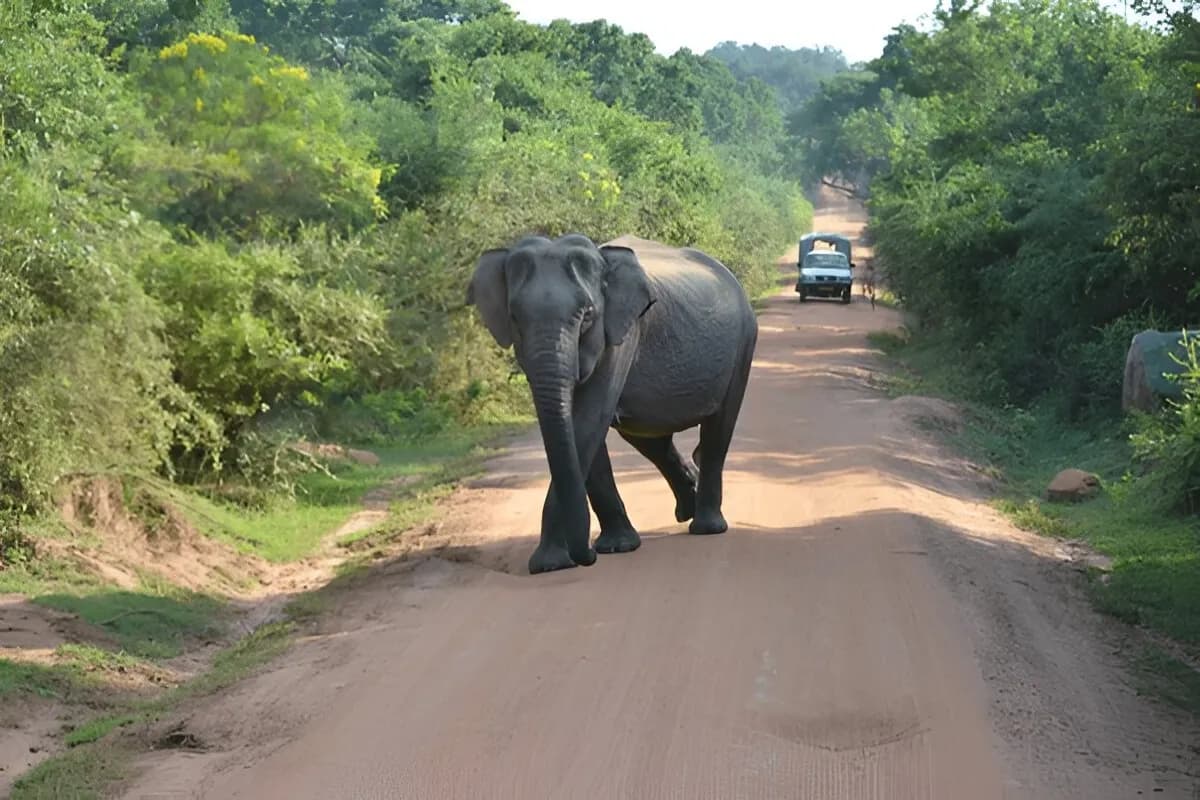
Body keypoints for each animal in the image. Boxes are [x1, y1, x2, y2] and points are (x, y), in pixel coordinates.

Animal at [466, 232, 758, 574]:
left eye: (588, 315)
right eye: (514, 318)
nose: (587, 556)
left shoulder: (621, 336)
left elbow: (588, 421)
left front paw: (552, 564)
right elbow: (581, 430)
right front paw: (610, 549)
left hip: (744, 345)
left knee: (717, 431)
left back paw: (706, 527)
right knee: (651, 440)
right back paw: (688, 504)